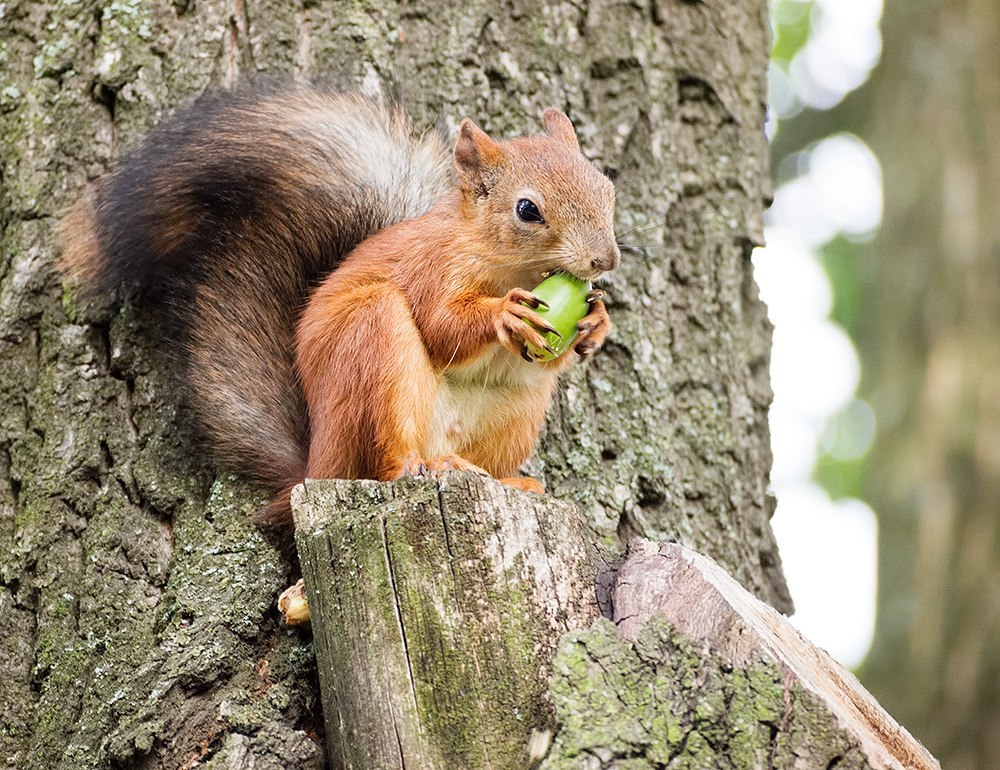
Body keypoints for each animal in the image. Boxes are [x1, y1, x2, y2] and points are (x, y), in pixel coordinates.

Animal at [60, 85, 616, 528]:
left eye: (607, 188)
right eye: (527, 210)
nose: (604, 259)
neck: (512, 269)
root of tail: (315, 469)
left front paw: (597, 322)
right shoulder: (431, 268)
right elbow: (441, 326)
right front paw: (504, 313)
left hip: (515, 411)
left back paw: (505, 481)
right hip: (372, 339)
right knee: (384, 463)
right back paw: (422, 466)